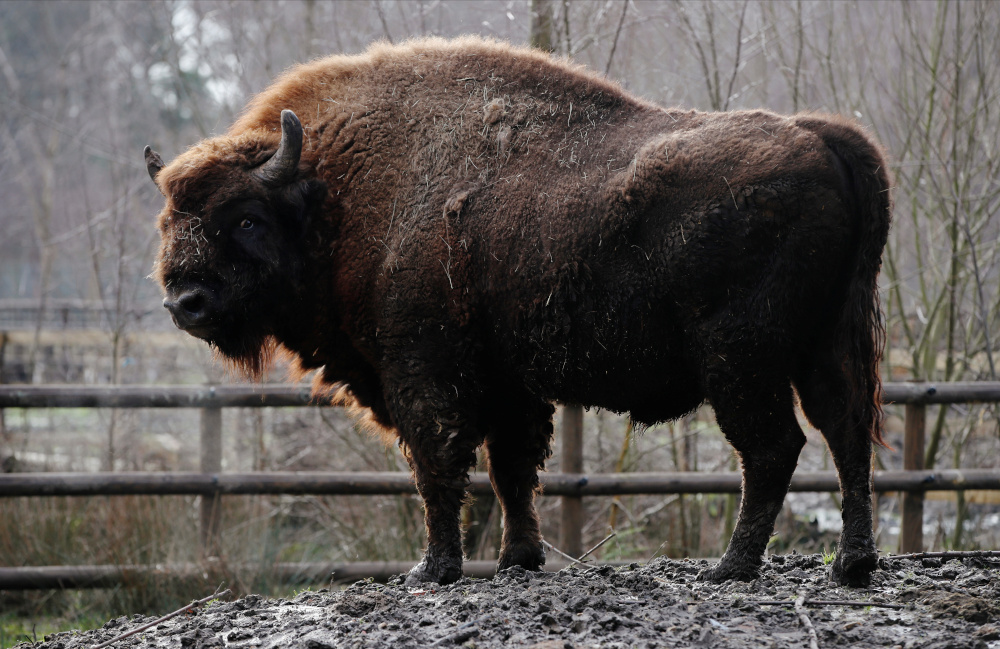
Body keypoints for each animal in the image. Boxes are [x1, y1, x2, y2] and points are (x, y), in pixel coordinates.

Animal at [145, 36, 891, 587]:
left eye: (245, 218)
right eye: (168, 220)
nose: (185, 300)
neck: (335, 193)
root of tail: (819, 137)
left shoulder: (423, 371)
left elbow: (439, 464)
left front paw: (432, 570)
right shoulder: (509, 383)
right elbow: (511, 469)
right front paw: (518, 559)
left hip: (741, 358)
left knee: (774, 446)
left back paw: (731, 567)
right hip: (826, 341)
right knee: (848, 429)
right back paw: (852, 565)